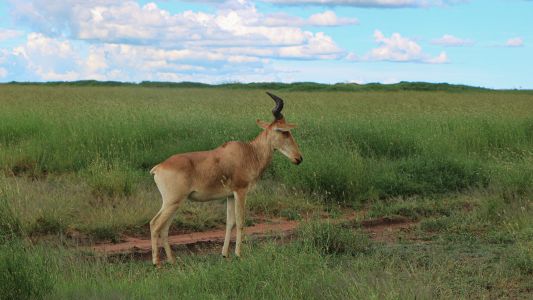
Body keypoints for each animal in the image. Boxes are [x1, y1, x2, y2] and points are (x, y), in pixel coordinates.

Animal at [148, 92, 302, 266]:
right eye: (284, 132)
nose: (299, 158)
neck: (249, 152)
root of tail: (159, 167)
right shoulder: (241, 191)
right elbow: (241, 221)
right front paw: (238, 254)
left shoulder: (230, 195)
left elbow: (230, 223)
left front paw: (224, 254)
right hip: (172, 201)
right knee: (155, 224)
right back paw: (157, 263)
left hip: (174, 203)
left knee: (164, 228)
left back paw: (172, 260)